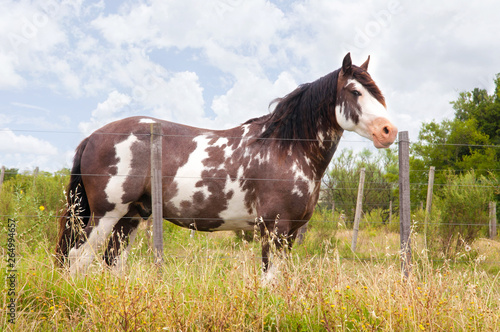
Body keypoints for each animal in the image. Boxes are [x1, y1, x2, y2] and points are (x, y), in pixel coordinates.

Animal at [55, 52, 398, 274]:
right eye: (354, 91)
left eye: (377, 92)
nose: (388, 131)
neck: (285, 149)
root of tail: (92, 137)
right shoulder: (274, 229)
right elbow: (270, 279)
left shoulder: (290, 234)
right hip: (106, 215)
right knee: (77, 259)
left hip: (131, 217)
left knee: (111, 262)